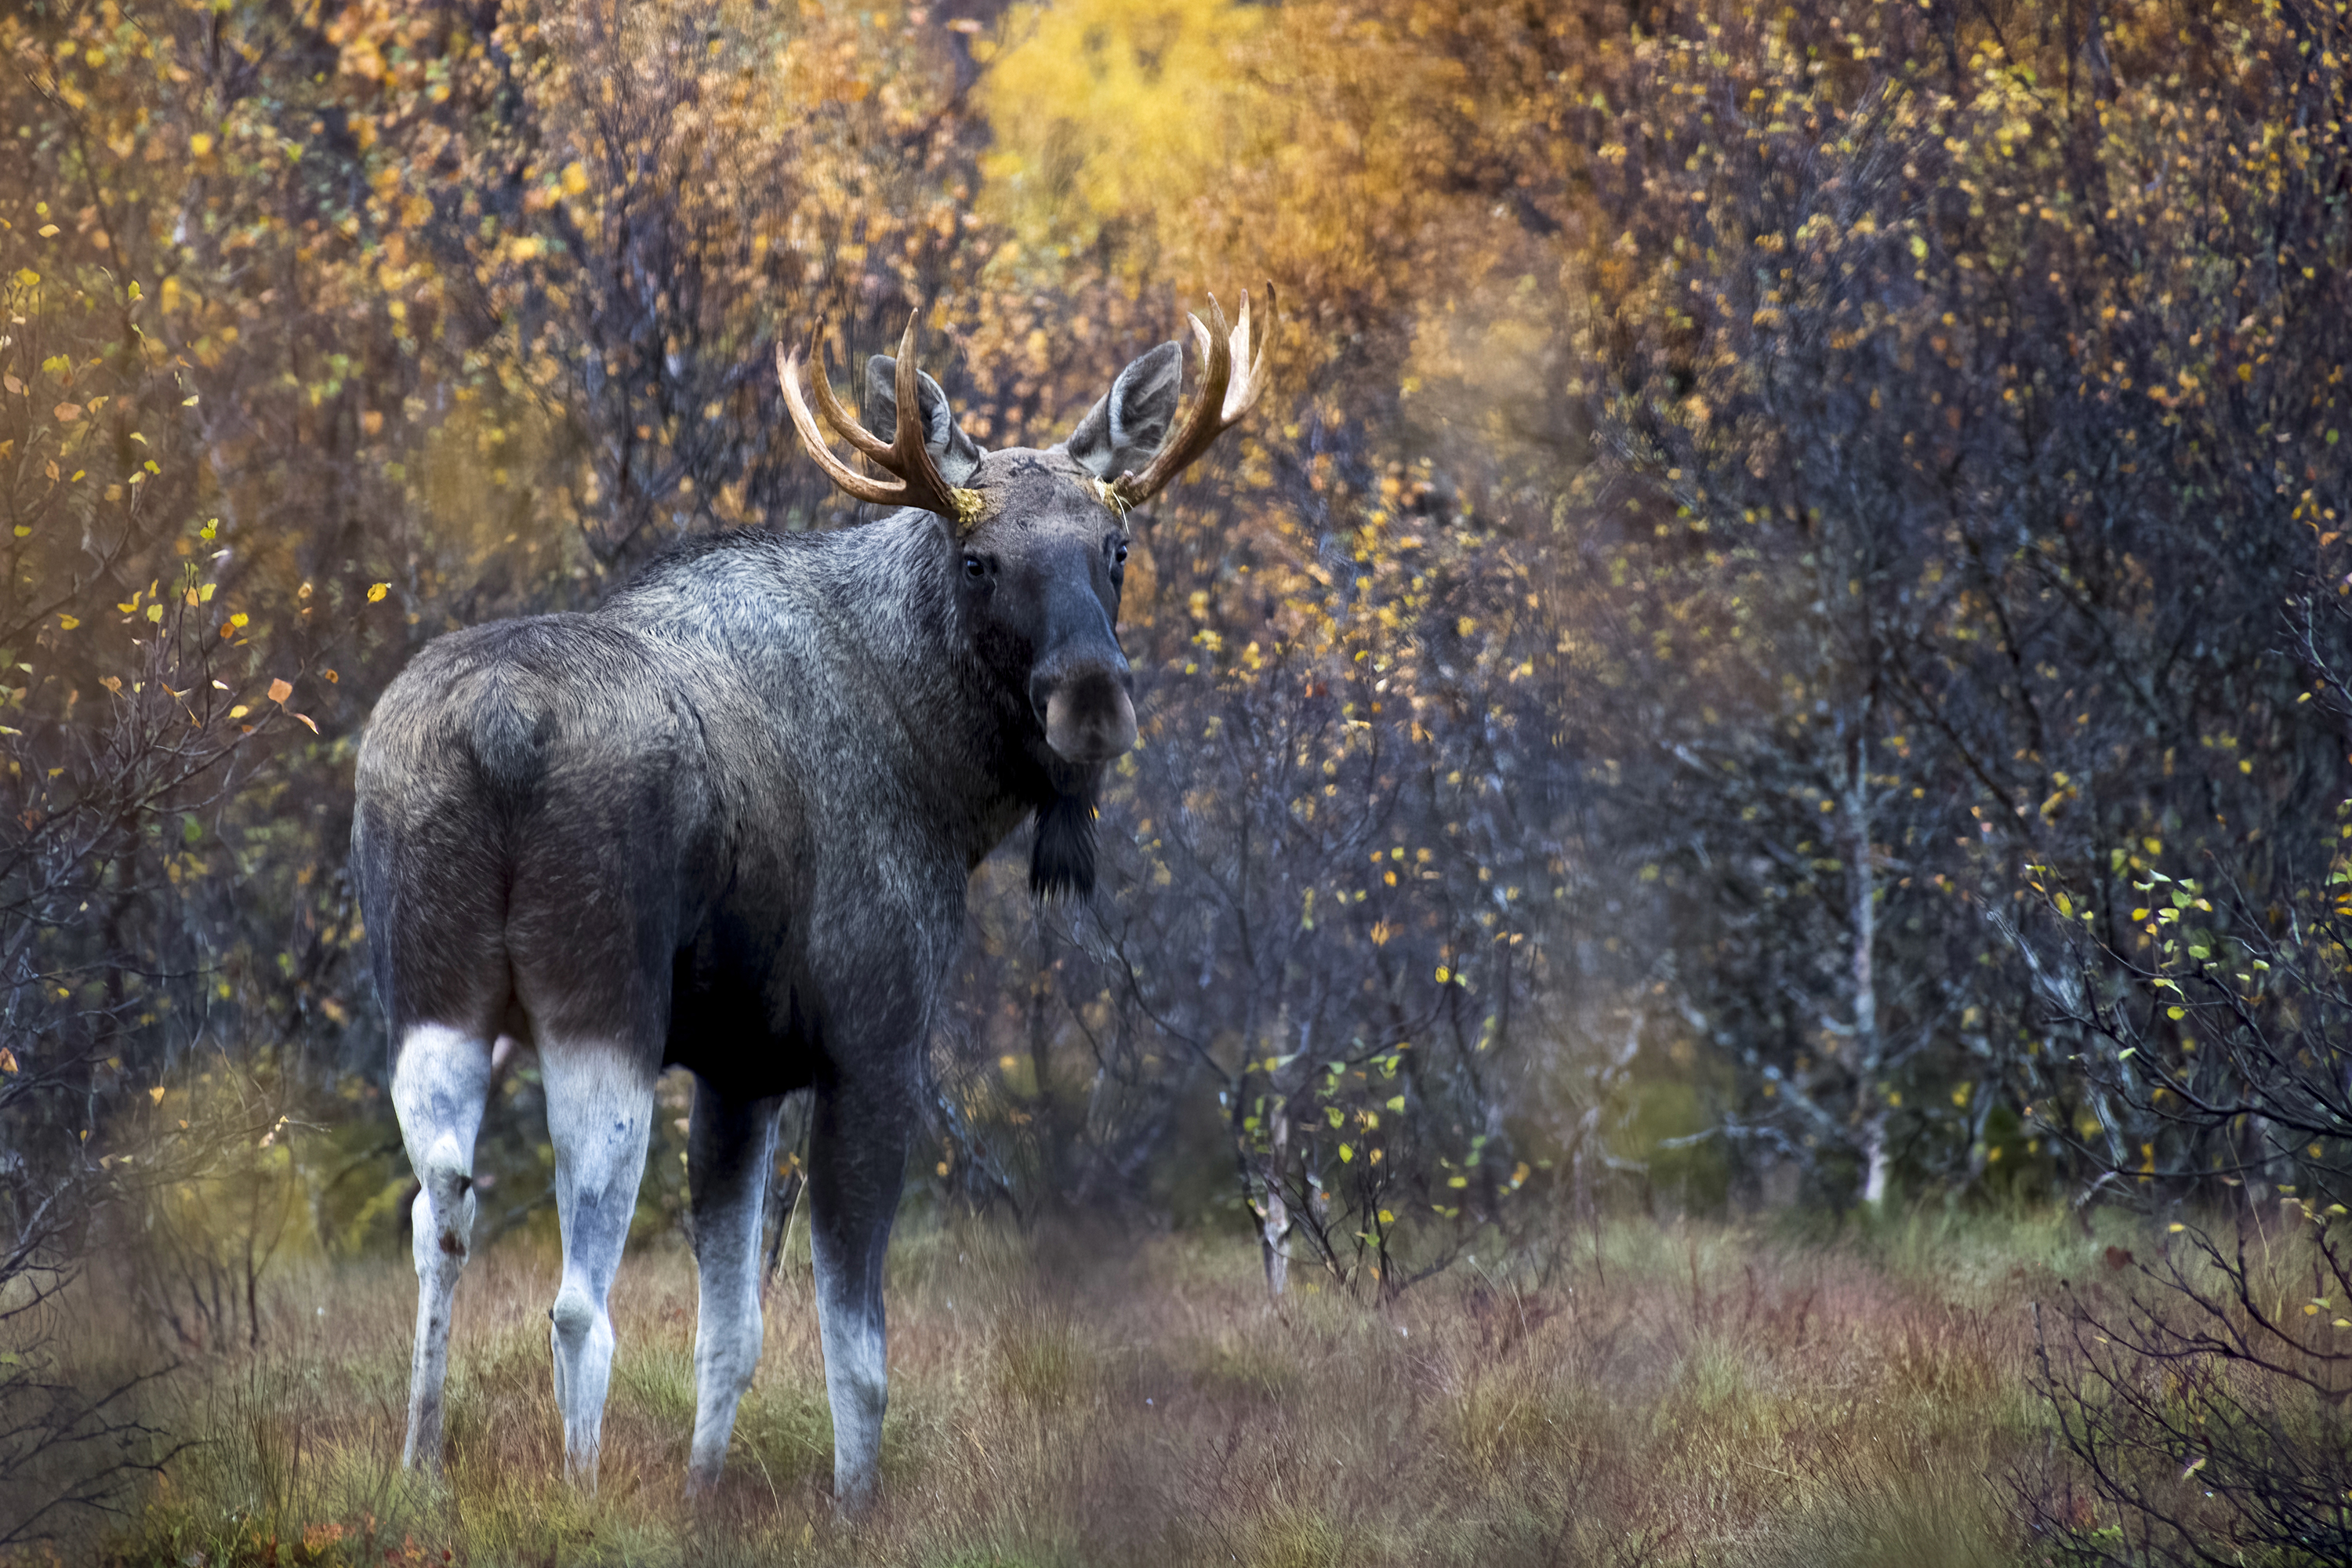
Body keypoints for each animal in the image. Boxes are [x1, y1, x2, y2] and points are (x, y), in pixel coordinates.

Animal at [350, 293, 1270, 1504]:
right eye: (978, 559)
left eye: (1115, 550)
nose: (1093, 700)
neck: (946, 781)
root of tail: (497, 729)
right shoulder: (872, 1043)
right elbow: (857, 1345)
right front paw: (852, 1505)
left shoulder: (741, 1069)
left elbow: (730, 1330)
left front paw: (701, 1494)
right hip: (600, 1007)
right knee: (576, 1294)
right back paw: (580, 1486)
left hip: (434, 998)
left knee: (439, 1212)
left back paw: (421, 1467)